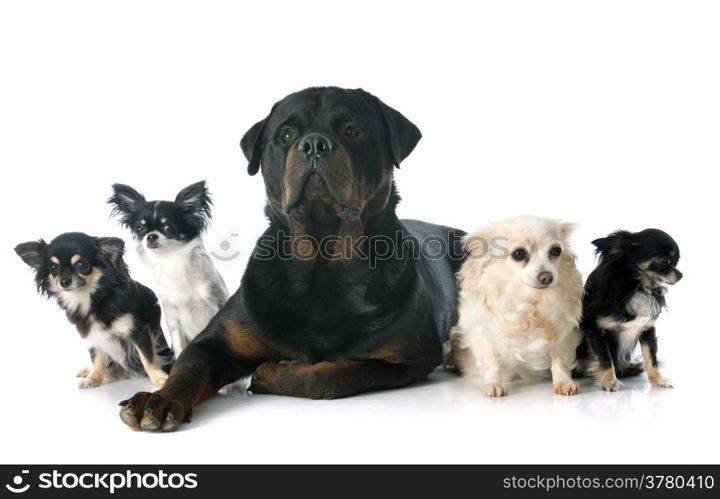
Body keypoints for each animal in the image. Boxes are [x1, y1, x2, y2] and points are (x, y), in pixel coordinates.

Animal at [119, 88, 464, 432]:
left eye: (352, 131)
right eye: (286, 134)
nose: (314, 144)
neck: (322, 263)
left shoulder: (409, 358)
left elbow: (337, 375)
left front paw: (273, 372)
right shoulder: (215, 341)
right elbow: (188, 368)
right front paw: (159, 398)